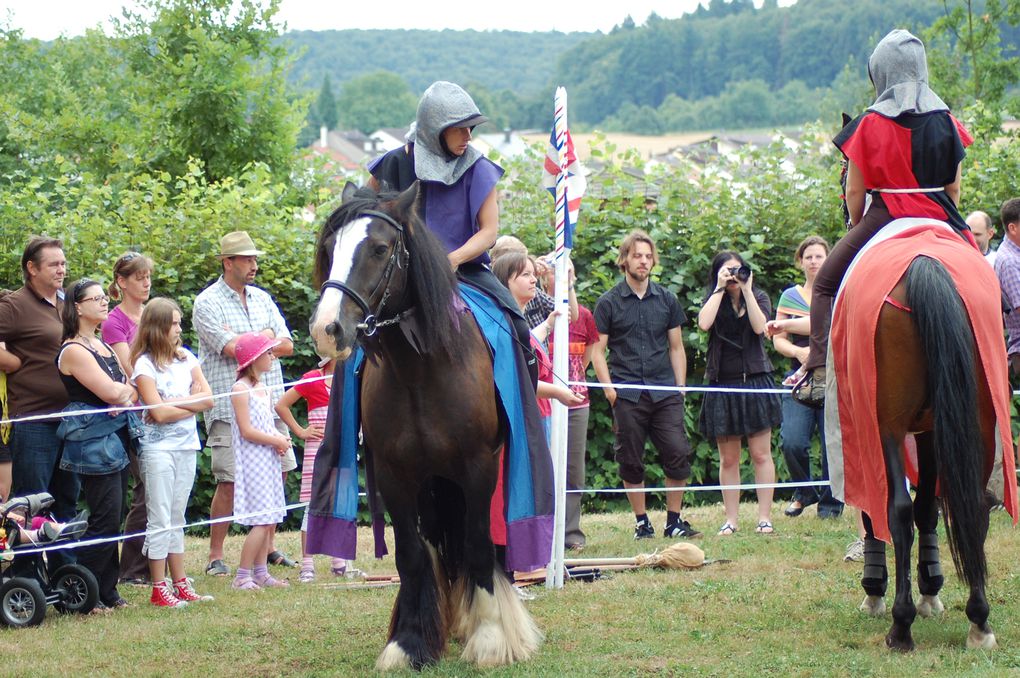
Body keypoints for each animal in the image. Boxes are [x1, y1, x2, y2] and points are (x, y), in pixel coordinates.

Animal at [308, 182, 542, 668]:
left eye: (380, 248)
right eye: (329, 249)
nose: (328, 329)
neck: (422, 368)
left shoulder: (478, 468)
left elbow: (477, 544)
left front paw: (490, 638)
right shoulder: (396, 475)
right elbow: (412, 555)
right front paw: (409, 642)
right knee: (434, 541)